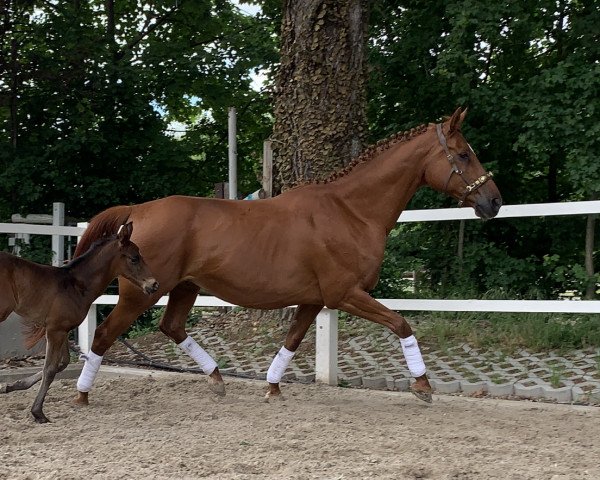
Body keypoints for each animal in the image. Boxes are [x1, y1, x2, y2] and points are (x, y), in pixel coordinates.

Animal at [0, 222, 159, 424]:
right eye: (134, 258)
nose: (154, 285)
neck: (76, 285)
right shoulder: (55, 330)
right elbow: (50, 369)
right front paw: (38, 412)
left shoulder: (62, 329)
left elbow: (62, 363)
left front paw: (12, 386)